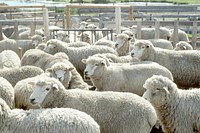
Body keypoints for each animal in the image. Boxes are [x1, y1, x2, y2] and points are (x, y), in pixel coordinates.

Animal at [29, 77, 158, 133]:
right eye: (34, 87)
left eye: (47, 89)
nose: (32, 99)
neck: (64, 98)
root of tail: (151, 113)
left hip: (133, 128)